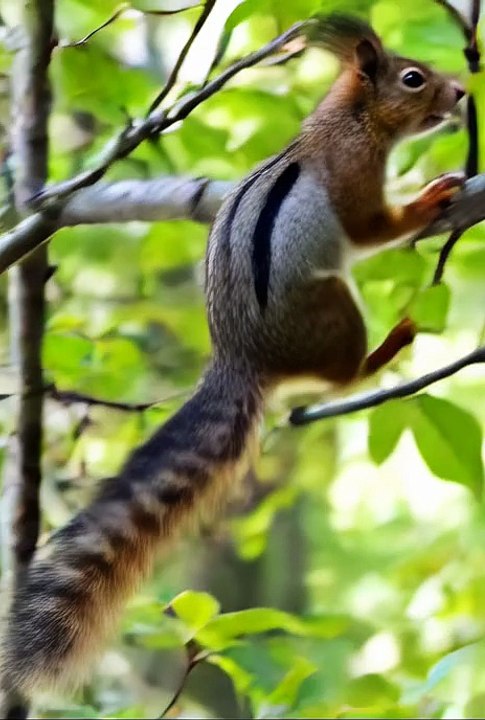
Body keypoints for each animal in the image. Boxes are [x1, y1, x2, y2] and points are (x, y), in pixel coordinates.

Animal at [1, 13, 465, 710]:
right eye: (413, 78)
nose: (462, 92)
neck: (351, 120)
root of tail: (240, 360)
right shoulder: (352, 174)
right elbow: (369, 227)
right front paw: (428, 199)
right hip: (335, 309)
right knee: (340, 374)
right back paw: (392, 344)